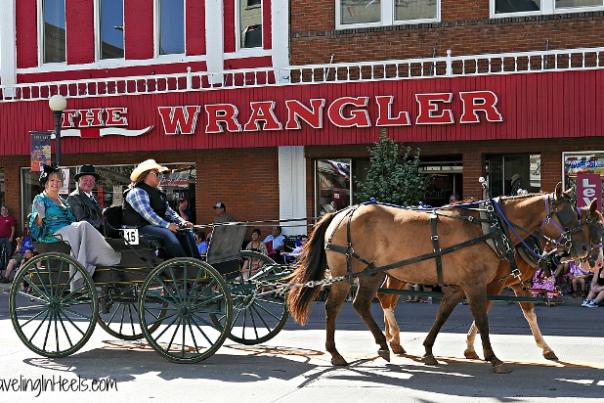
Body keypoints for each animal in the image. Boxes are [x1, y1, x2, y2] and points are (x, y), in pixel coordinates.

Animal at [380, 204, 600, 362]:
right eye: (594, 225)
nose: (596, 262)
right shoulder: (493, 283)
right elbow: (483, 311)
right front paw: (471, 348)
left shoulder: (515, 282)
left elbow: (529, 313)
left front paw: (546, 349)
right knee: (385, 298)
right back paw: (393, 339)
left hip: (398, 274)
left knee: (387, 299)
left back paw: (393, 340)